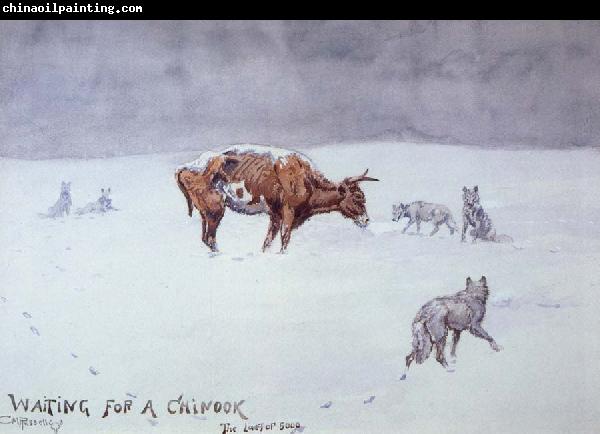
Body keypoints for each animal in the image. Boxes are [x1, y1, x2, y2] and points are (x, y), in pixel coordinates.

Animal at [176, 144, 378, 253]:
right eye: (358, 196)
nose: (366, 220)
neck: (305, 177)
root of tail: (186, 166)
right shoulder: (288, 213)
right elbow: (284, 239)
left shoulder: (275, 216)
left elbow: (267, 242)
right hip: (215, 211)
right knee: (210, 238)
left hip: (206, 214)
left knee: (205, 238)